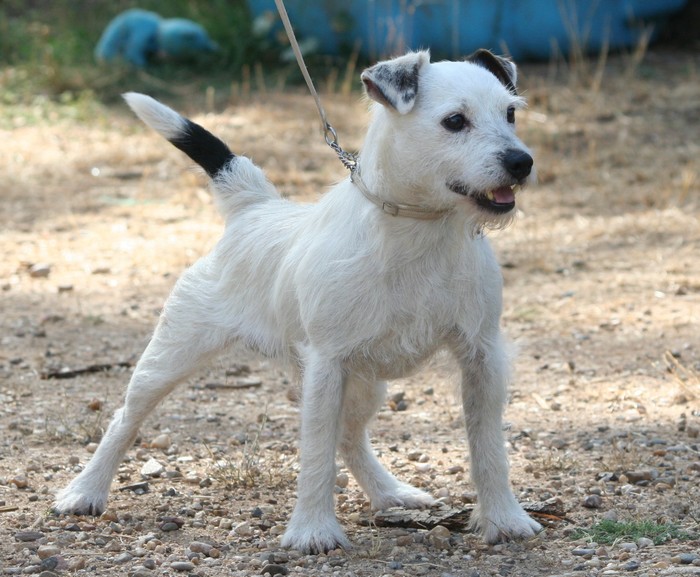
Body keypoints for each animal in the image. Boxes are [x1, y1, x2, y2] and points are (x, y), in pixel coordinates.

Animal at [54, 48, 540, 548]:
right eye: (454, 121)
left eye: (510, 113)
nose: (521, 162)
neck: (420, 230)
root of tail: (253, 207)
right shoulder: (327, 365)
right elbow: (316, 453)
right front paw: (313, 530)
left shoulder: (481, 357)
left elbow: (488, 448)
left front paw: (504, 518)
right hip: (171, 357)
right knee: (124, 419)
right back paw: (85, 491)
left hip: (366, 382)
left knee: (349, 437)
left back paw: (390, 493)